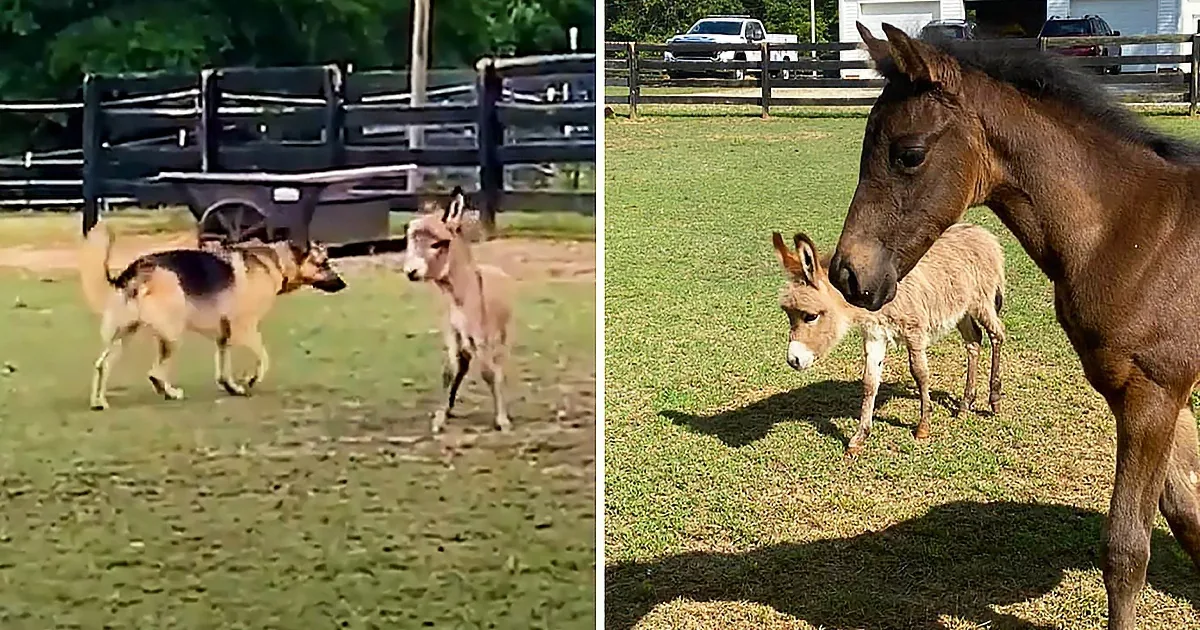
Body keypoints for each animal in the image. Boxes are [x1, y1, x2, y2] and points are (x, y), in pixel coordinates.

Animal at [827, 22, 1200, 629]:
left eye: (909, 154)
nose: (847, 274)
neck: (1132, 232)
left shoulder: (1153, 391)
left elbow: (1127, 550)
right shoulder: (1158, 392)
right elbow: (1188, 511)